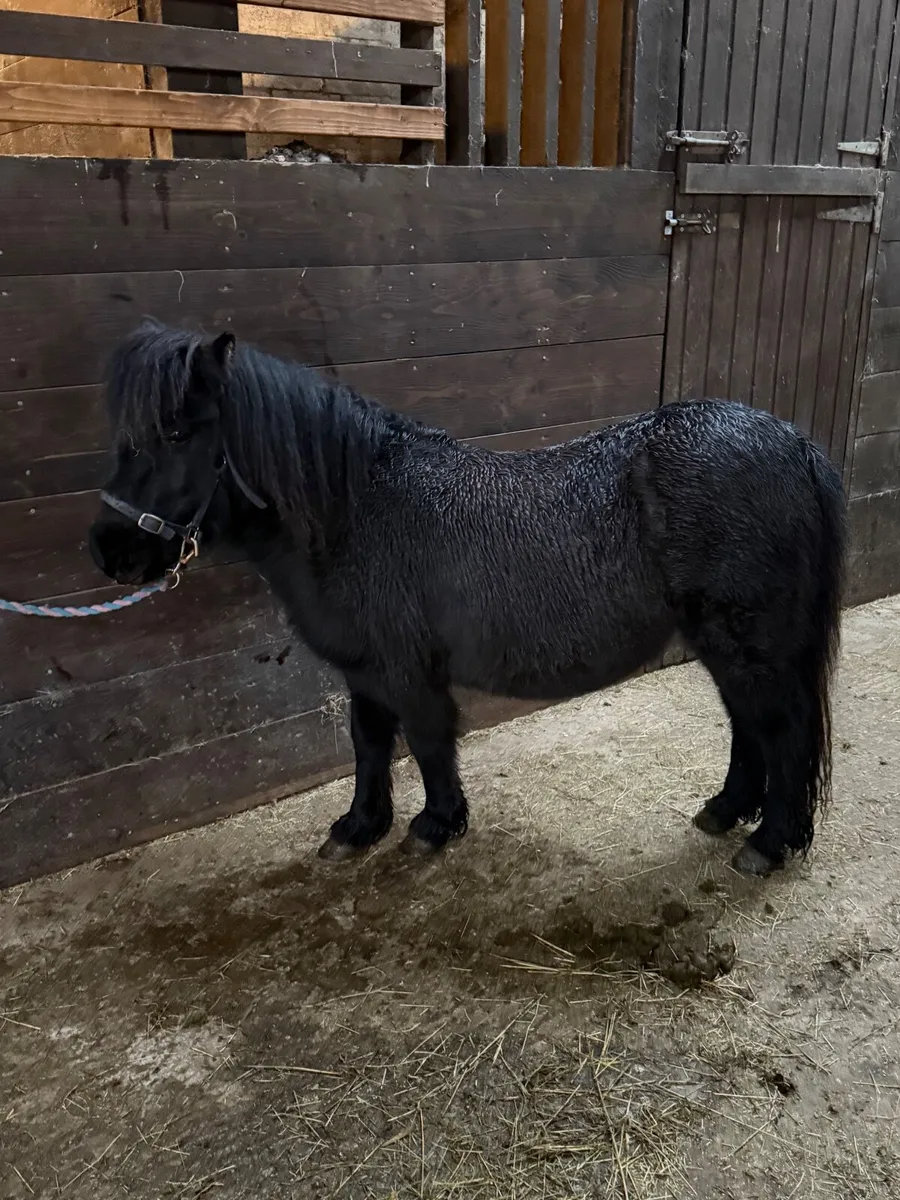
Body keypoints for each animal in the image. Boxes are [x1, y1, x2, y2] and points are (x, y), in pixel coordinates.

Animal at [89, 320, 847, 877]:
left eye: (176, 432)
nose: (108, 553)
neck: (358, 510)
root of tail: (796, 443)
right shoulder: (365, 671)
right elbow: (368, 743)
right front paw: (358, 827)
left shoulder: (406, 669)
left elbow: (427, 741)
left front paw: (434, 825)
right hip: (729, 646)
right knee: (750, 727)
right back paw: (726, 812)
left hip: (748, 644)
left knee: (780, 730)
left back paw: (768, 843)